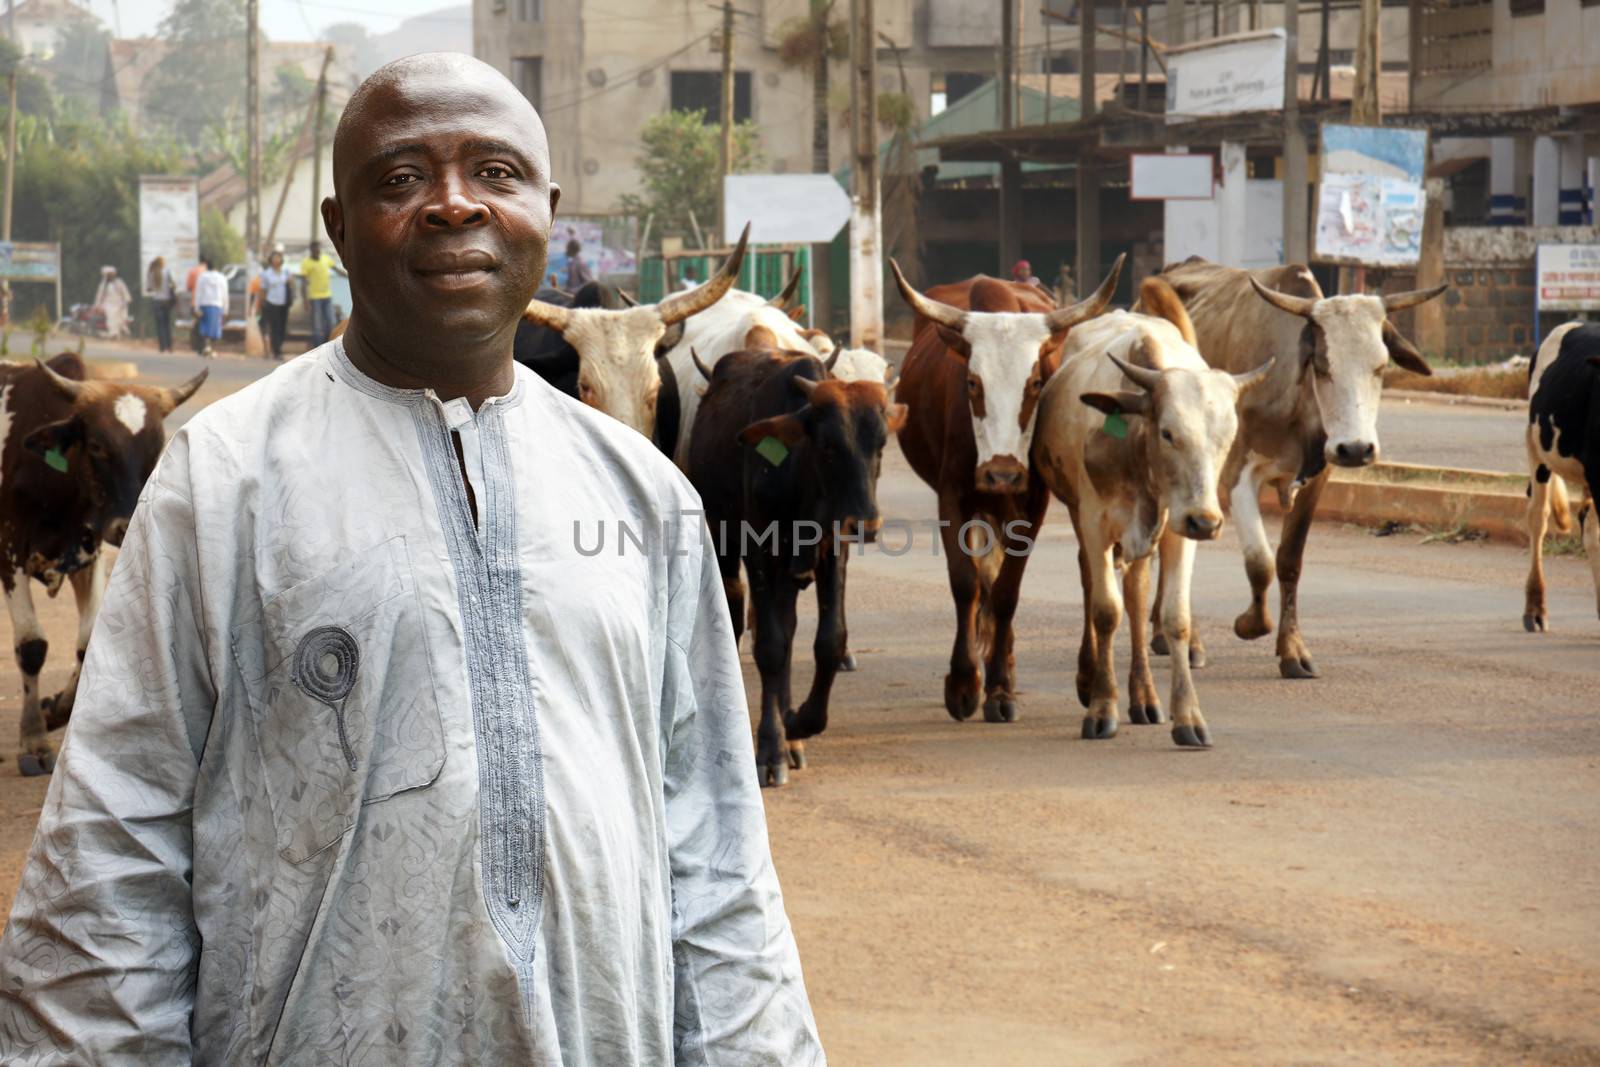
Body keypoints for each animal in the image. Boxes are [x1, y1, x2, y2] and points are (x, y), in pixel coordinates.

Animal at [0, 355, 209, 771]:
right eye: (96, 445)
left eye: (156, 449)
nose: (126, 524)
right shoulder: (8, 552)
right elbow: (31, 646)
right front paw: (33, 740)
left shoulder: (88, 551)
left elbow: (86, 643)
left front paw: (57, 709)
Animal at [691, 348, 908, 783]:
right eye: (828, 444)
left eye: (880, 443)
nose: (866, 524)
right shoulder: (759, 551)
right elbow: (770, 646)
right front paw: (770, 748)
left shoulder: (831, 550)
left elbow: (829, 641)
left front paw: (797, 722)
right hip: (725, 545)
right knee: (739, 614)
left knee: (788, 628)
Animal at [889, 254, 1126, 723]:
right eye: (972, 383)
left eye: (1034, 383)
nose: (1002, 474)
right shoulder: (954, 497)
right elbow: (968, 583)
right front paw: (965, 684)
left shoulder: (1032, 504)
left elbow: (1007, 593)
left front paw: (998, 689)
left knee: (1080, 571)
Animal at [1152, 259, 1452, 675]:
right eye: (1322, 366)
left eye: (1380, 367)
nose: (1356, 449)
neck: (1295, 402)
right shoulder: (1235, 478)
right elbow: (1259, 562)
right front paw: (1249, 624)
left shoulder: (1318, 475)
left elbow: (1289, 560)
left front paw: (1293, 650)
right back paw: (1189, 642)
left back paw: (1160, 634)